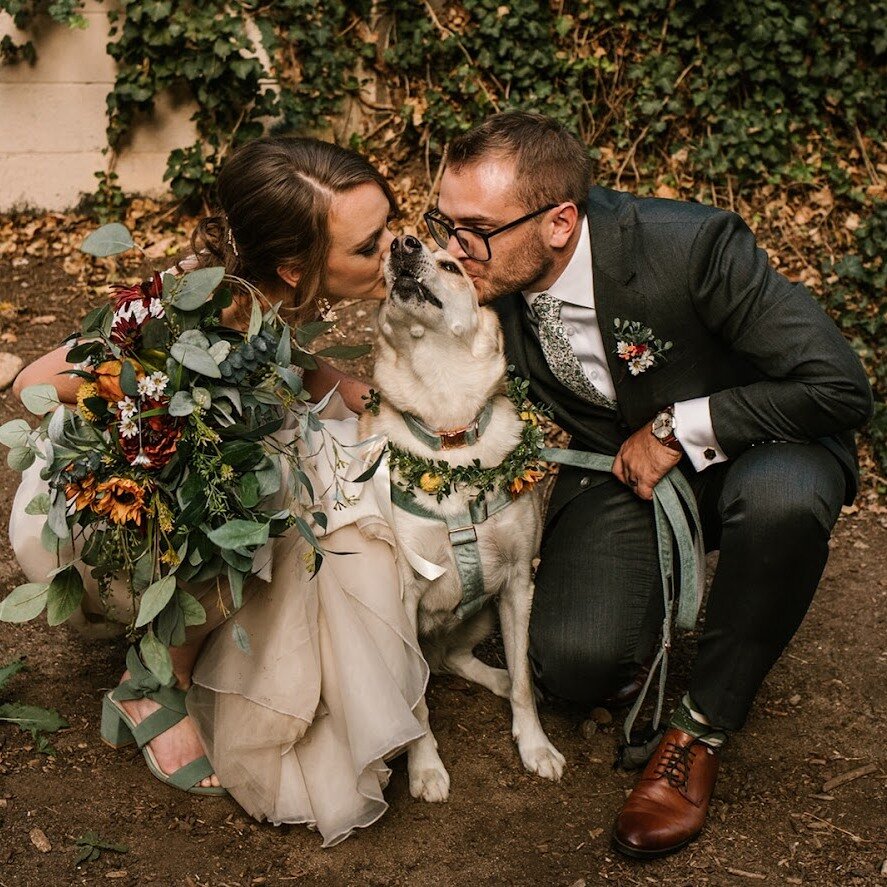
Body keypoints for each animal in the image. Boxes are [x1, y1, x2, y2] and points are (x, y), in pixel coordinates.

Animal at [360, 236, 560, 804]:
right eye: (383, 271)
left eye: (452, 265)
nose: (402, 243)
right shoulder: (403, 595)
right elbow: (417, 705)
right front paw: (425, 768)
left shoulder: (518, 585)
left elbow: (523, 678)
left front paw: (535, 745)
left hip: (485, 615)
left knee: (456, 659)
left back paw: (497, 679)